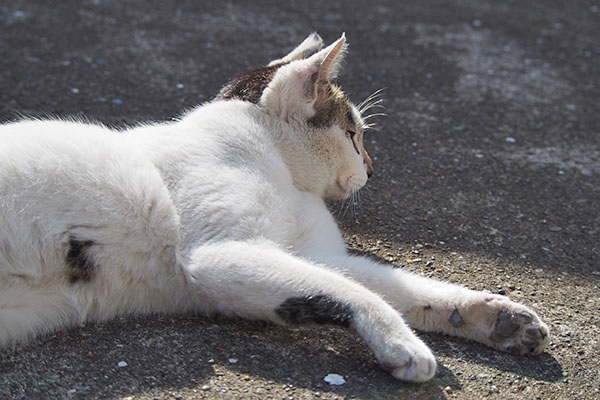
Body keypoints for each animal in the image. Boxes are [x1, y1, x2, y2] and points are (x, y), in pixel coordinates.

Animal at [0, 32, 548, 382]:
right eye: (354, 135)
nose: (372, 169)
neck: (277, 166)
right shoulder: (221, 256)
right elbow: (355, 293)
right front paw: (404, 344)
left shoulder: (315, 256)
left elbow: (400, 289)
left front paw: (495, 317)